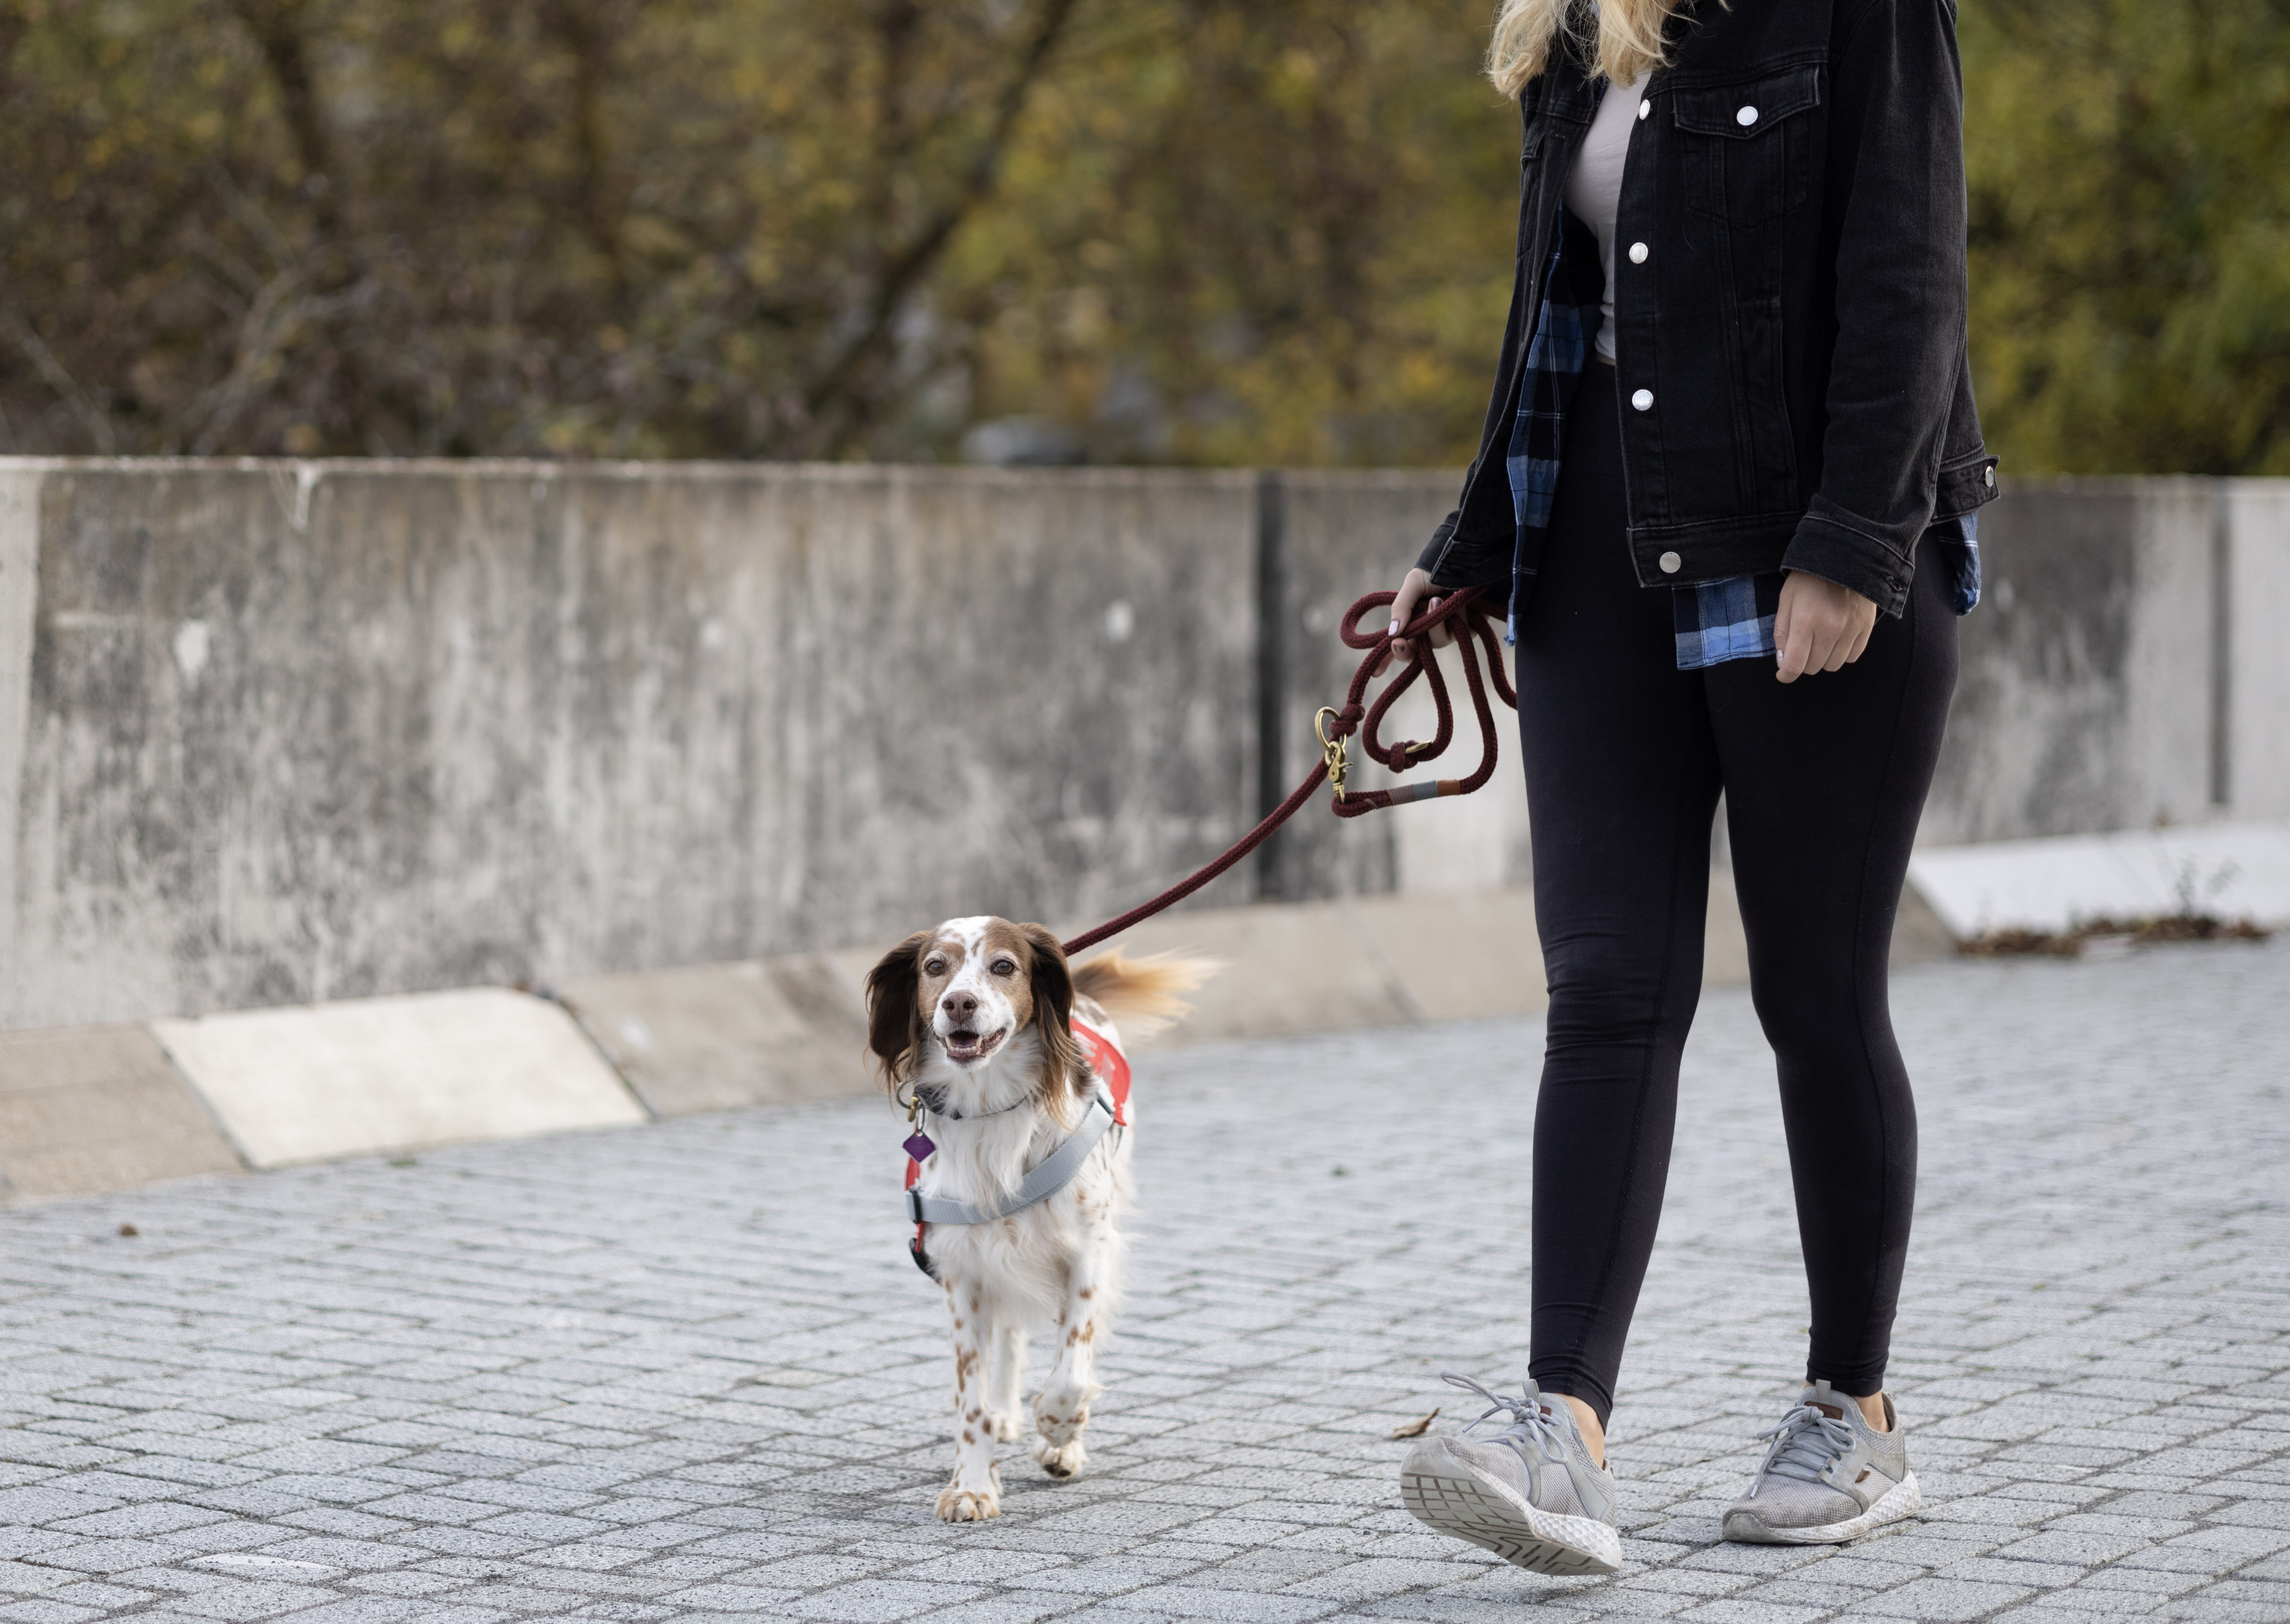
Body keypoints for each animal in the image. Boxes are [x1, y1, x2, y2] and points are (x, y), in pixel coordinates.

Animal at [861, 921, 1218, 1530]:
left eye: (1004, 965)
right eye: (935, 966)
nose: (959, 1002)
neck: (990, 1110)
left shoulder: (1087, 1253)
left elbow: (1072, 1364)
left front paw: (1058, 1429)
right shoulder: (964, 1272)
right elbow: (971, 1396)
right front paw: (972, 1484)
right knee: (1010, 1333)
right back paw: (1007, 1412)